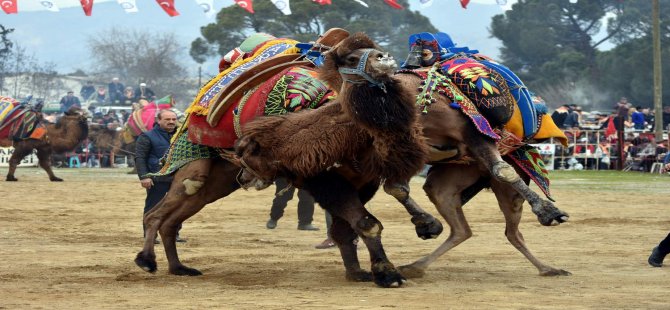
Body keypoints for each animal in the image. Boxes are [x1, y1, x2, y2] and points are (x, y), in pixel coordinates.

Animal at [136, 32, 434, 288]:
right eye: (351, 59)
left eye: (376, 48)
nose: (384, 57)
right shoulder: (323, 179)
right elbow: (366, 224)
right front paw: (387, 273)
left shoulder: (364, 180)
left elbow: (348, 227)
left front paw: (358, 271)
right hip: (194, 155)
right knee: (163, 208)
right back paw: (147, 260)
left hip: (222, 178)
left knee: (178, 215)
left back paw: (179, 268)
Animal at [236, 32, 572, 278]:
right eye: (350, 58)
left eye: (245, 154)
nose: (242, 176)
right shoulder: (402, 151)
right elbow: (396, 188)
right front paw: (426, 224)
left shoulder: (471, 133)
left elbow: (502, 170)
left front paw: (550, 212)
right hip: (450, 178)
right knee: (464, 228)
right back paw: (416, 266)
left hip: (504, 173)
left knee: (510, 219)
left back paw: (549, 256)